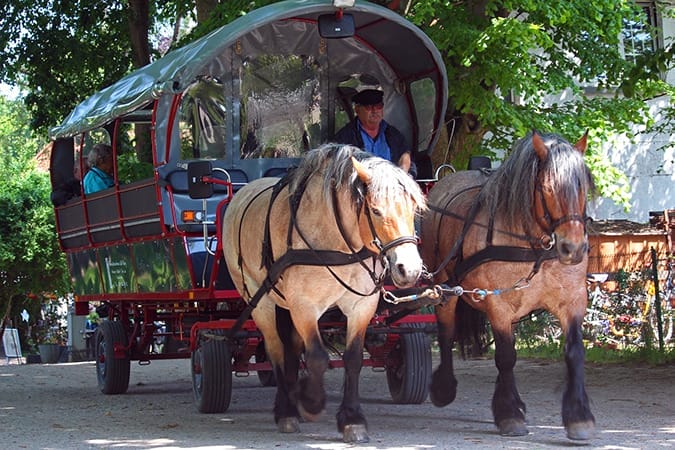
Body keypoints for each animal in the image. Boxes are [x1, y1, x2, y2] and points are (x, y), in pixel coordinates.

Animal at [223, 145, 428, 442]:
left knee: (291, 348)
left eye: (413, 208)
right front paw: (312, 403)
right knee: (275, 348)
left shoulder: (360, 306)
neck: (339, 242)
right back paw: (287, 411)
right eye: (375, 210)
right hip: (259, 300)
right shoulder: (304, 306)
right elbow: (318, 358)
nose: (408, 269)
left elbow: (352, 359)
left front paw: (352, 419)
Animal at [422, 129, 596, 440]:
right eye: (547, 188)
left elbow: (575, 353)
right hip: (444, 286)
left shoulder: (573, 300)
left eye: (583, 188)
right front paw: (509, 414)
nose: (573, 249)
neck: (535, 246)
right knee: (446, 331)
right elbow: (505, 356)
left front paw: (579, 416)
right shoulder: (498, 304)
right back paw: (444, 387)